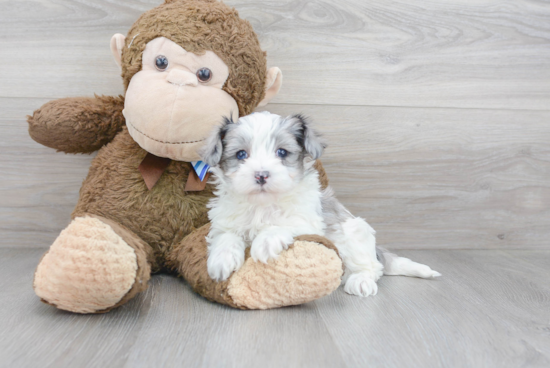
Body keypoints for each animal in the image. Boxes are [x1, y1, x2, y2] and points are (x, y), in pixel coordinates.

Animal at [198, 111, 440, 296]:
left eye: (282, 152)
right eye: (241, 154)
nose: (261, 175)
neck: (263, 205)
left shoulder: (308, 222)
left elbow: (284, 224)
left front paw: (265, 241)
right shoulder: (225, 221)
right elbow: (226, 236)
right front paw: (222, 260)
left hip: (355, 234)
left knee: (372, 266)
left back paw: (360, 280)